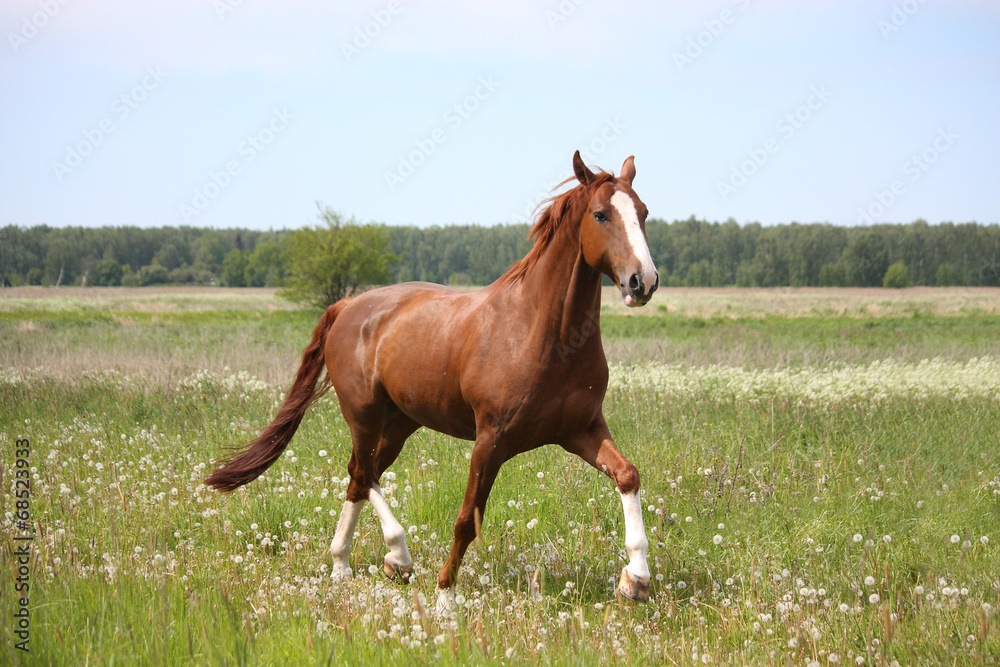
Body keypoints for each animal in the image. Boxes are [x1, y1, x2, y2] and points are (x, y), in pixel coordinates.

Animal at [204, 154, 660, 604]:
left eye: (643, 213)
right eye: (600, 214)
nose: (644, 281)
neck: (544, 334)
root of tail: (348, 305)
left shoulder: (581, 429)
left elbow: (628, 475)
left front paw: (635, 578)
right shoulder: (490, 440)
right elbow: (467, 521)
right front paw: (444, 598)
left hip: (400, 423)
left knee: (359, 475)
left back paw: (344, 566)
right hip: (363, 416)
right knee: (363, 473)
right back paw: (396, 556)